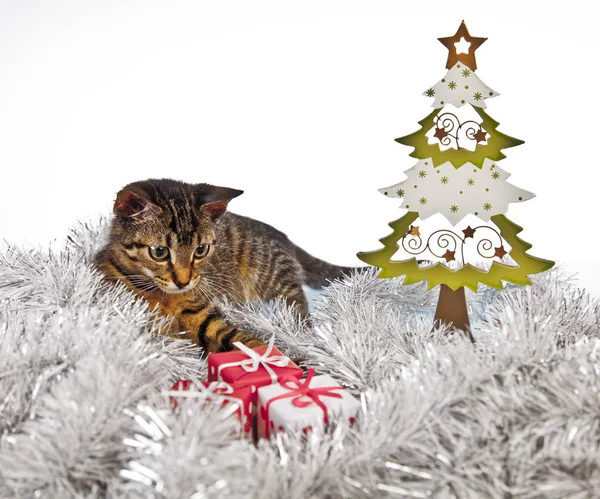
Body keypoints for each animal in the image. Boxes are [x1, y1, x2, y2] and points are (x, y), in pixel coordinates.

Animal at [95, 178, 356, 354]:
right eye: (159, 252)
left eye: (200, 250)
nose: (184, 281)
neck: (162, 297)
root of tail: (285, 239)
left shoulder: (205, 318)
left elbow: (246, 342)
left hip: (273, 276)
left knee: (297, 305)